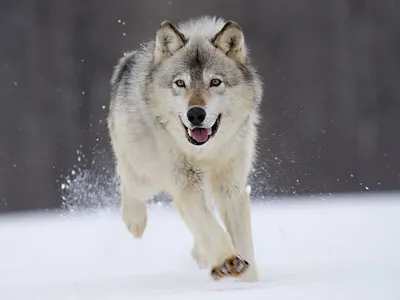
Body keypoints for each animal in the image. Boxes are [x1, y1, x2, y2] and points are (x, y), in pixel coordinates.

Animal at [107, 16, 262, 282]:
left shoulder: (231, 187)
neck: (205, 153)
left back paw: (202, 256)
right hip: (146, 175)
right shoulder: (187, 182)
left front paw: (248, 279)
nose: (195, 114)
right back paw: (135, 222)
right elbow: (211, 226)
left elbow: (241, 240)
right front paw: (228, 260)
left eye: (215, 82)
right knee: (128, 181)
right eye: (180, 83)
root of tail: (127, 61)